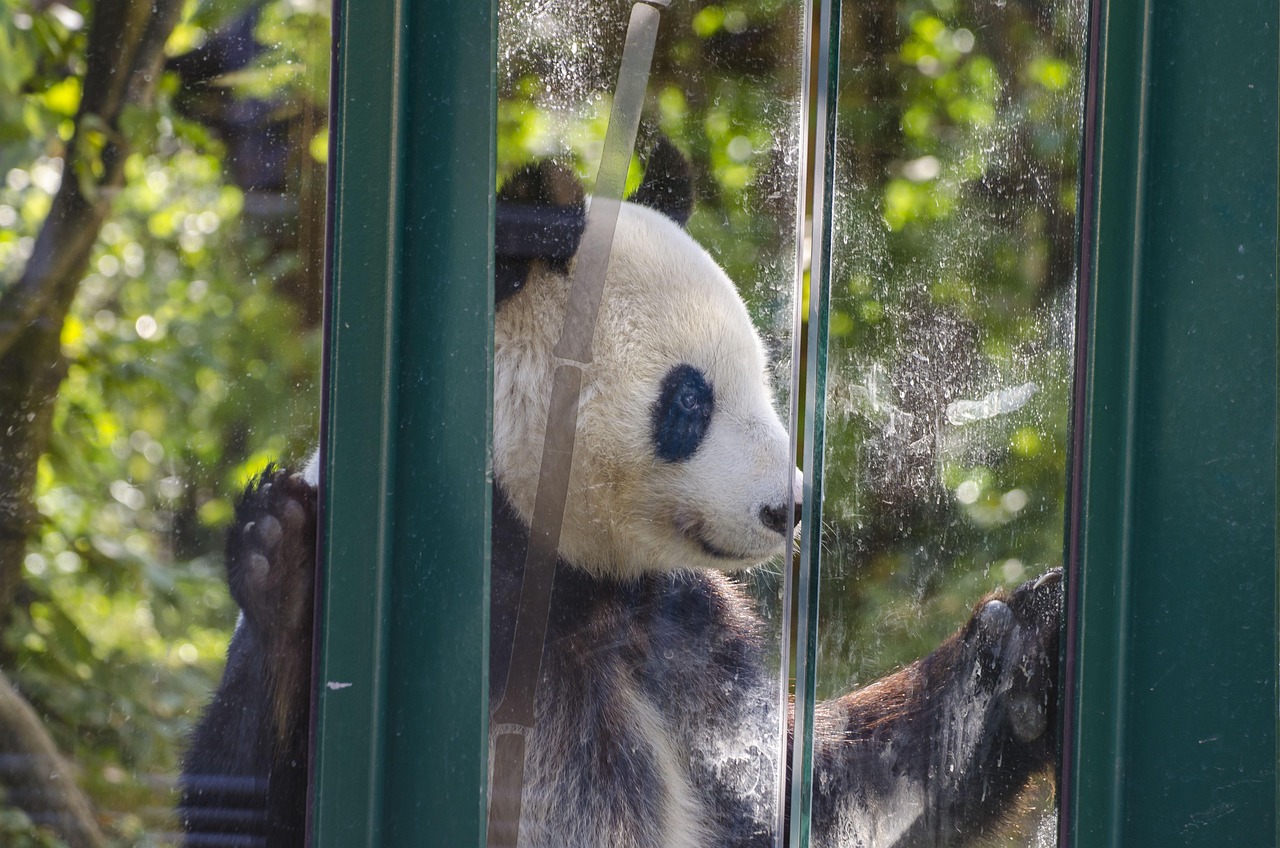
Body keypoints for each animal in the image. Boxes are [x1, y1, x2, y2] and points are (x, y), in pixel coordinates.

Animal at [180, 140, 1059, 848]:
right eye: (690, 402)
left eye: (765, 378)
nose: (789, 507)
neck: (564, 573)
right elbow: (248, 803)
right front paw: (285, 567)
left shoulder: (685, 630)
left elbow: (827, 789)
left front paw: (1022, 648)